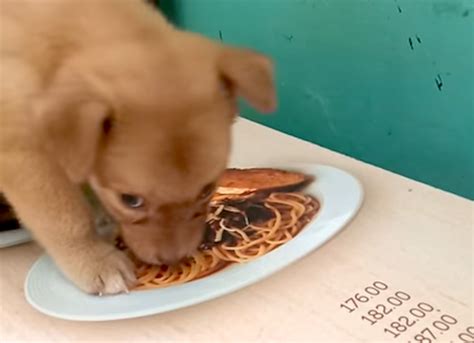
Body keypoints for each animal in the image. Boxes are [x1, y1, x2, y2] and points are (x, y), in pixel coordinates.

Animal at [0, 0, 276, 296]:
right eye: (129, 200)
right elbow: (65, 219)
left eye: (207, 190)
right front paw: (95, 259)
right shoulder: (26, 155)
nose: (173, 260)